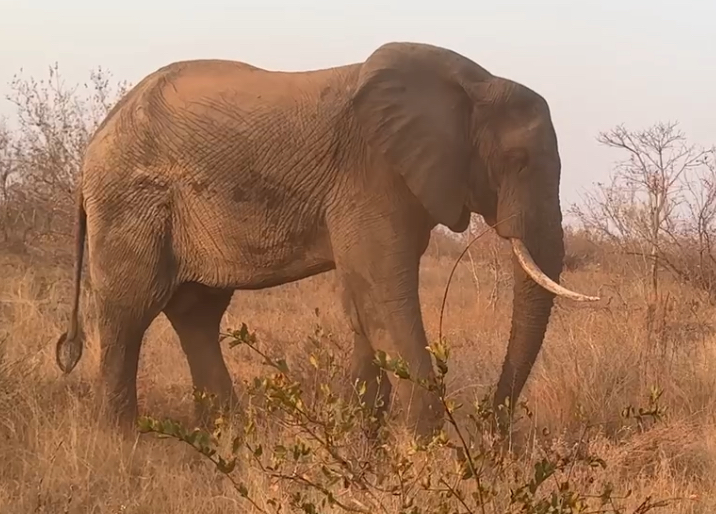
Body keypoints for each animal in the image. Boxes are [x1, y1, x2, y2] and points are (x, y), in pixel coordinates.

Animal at [54, 41, 599, 440]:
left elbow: (364, 303)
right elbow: (385, 296)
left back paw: (228, 436)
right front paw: (423, 443)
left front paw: (369, 444)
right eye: (520, 162)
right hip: (130, 204)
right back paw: (122, 443)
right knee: (130, 311)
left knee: (196, 313)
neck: (474, 83)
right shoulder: (370, 176)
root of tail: (92, 145)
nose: (494, 428)